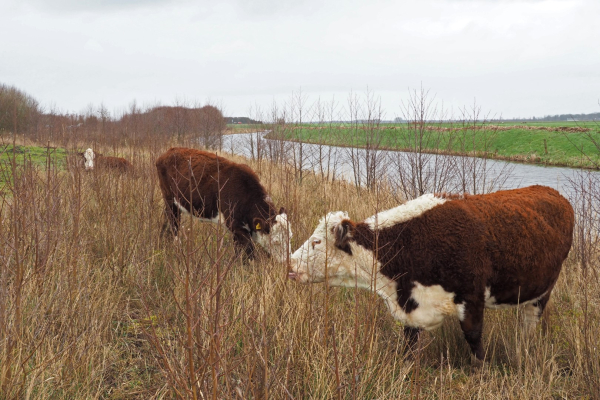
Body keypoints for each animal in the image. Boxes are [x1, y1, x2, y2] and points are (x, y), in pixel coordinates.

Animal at [156, 147, 292, 262]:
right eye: (276, 241)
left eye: (290, 237)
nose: (287, 262)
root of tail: (169, 151)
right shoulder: (234, 224)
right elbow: (250, 251)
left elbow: (238, 250)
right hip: (170, 200)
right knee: (174, 223)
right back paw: (177, 247)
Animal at [288, 186, 576, 360]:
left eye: (316, 242)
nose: (289, 266)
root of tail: (551, 191)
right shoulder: (412, 307)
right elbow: (409, 342)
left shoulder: (472, 297)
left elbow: (474, 339)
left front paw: (481, 369)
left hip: (543, 290)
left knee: (530, 322)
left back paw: (521, 350)